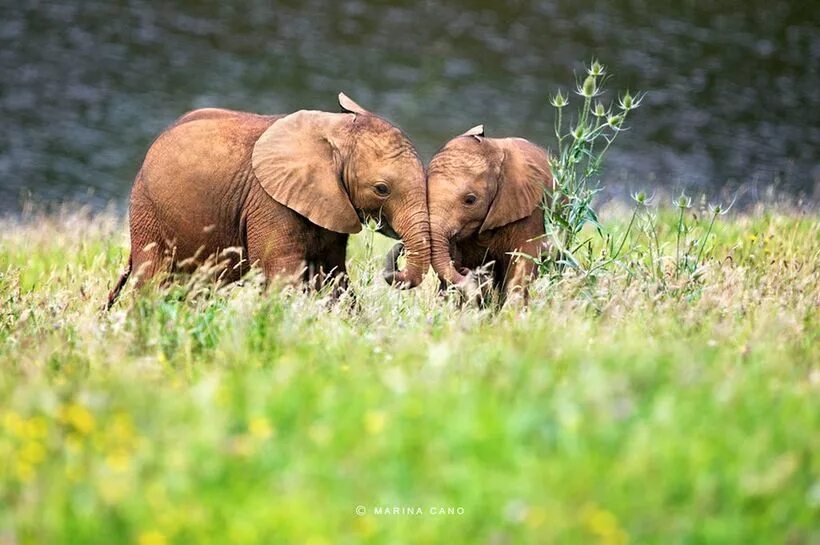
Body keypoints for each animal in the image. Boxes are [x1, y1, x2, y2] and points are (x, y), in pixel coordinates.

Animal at [104, 93, 430, 306]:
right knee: (152, 279)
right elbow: (283, 273)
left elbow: (333, 274)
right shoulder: (269, 202)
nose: (400, 247)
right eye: (382, 189)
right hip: (147, 210)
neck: (334, 130)